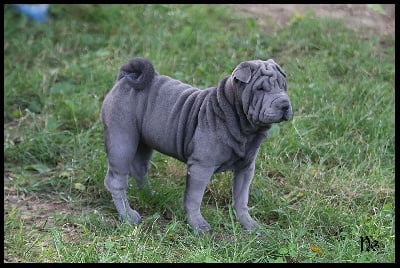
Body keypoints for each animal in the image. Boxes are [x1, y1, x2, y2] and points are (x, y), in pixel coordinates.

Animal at [101, 57, 292, 232]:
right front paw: (198, 224)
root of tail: (125, 79)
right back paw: (128, 215)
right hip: (122, 141)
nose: (284, 104)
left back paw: (149, 195)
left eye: (283, 86)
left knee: (139, 168)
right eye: (260, 89)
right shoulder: (201, 167)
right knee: (116, 181)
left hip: (143, 142)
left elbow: (241, 198)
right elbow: (194, 198)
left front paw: (248, 223)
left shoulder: (246, 169)